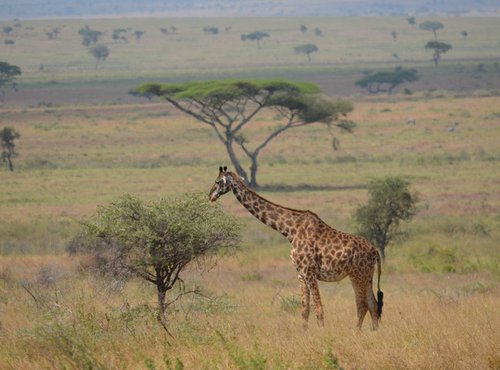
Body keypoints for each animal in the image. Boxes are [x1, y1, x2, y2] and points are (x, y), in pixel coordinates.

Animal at [209, 166, 384, 328]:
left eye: (217, 181)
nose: (210, 196)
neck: (289, 230)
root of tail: (375, 251)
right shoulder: (300, 274)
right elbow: (304, 310)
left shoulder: (309, 271)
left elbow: (318, 308)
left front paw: (322, 335)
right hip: (367, 275)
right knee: (373, 305)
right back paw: (373, 333)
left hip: (357, 274)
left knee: (362, 306)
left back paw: (357, 333)